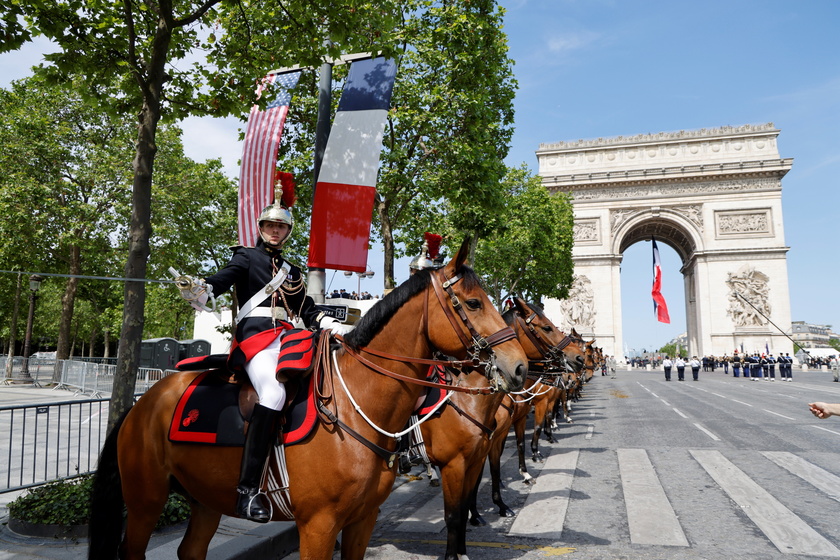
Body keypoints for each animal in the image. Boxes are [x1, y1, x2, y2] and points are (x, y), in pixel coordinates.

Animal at [90, 241, 524, 560]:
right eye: (473, 303)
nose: (518, 366)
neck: (356, 407)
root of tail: (143, 402)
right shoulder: (319, 525)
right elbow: (453, 512)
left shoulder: (364, 519)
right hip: (146, 500)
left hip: (205, 498)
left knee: (191, 551)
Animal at [418, 298, 588, 560]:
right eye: (546, 327)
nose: (579, 360)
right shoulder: (480, 446)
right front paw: (476, 513)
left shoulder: (505, 430)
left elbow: (510, 455)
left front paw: (509, 492)